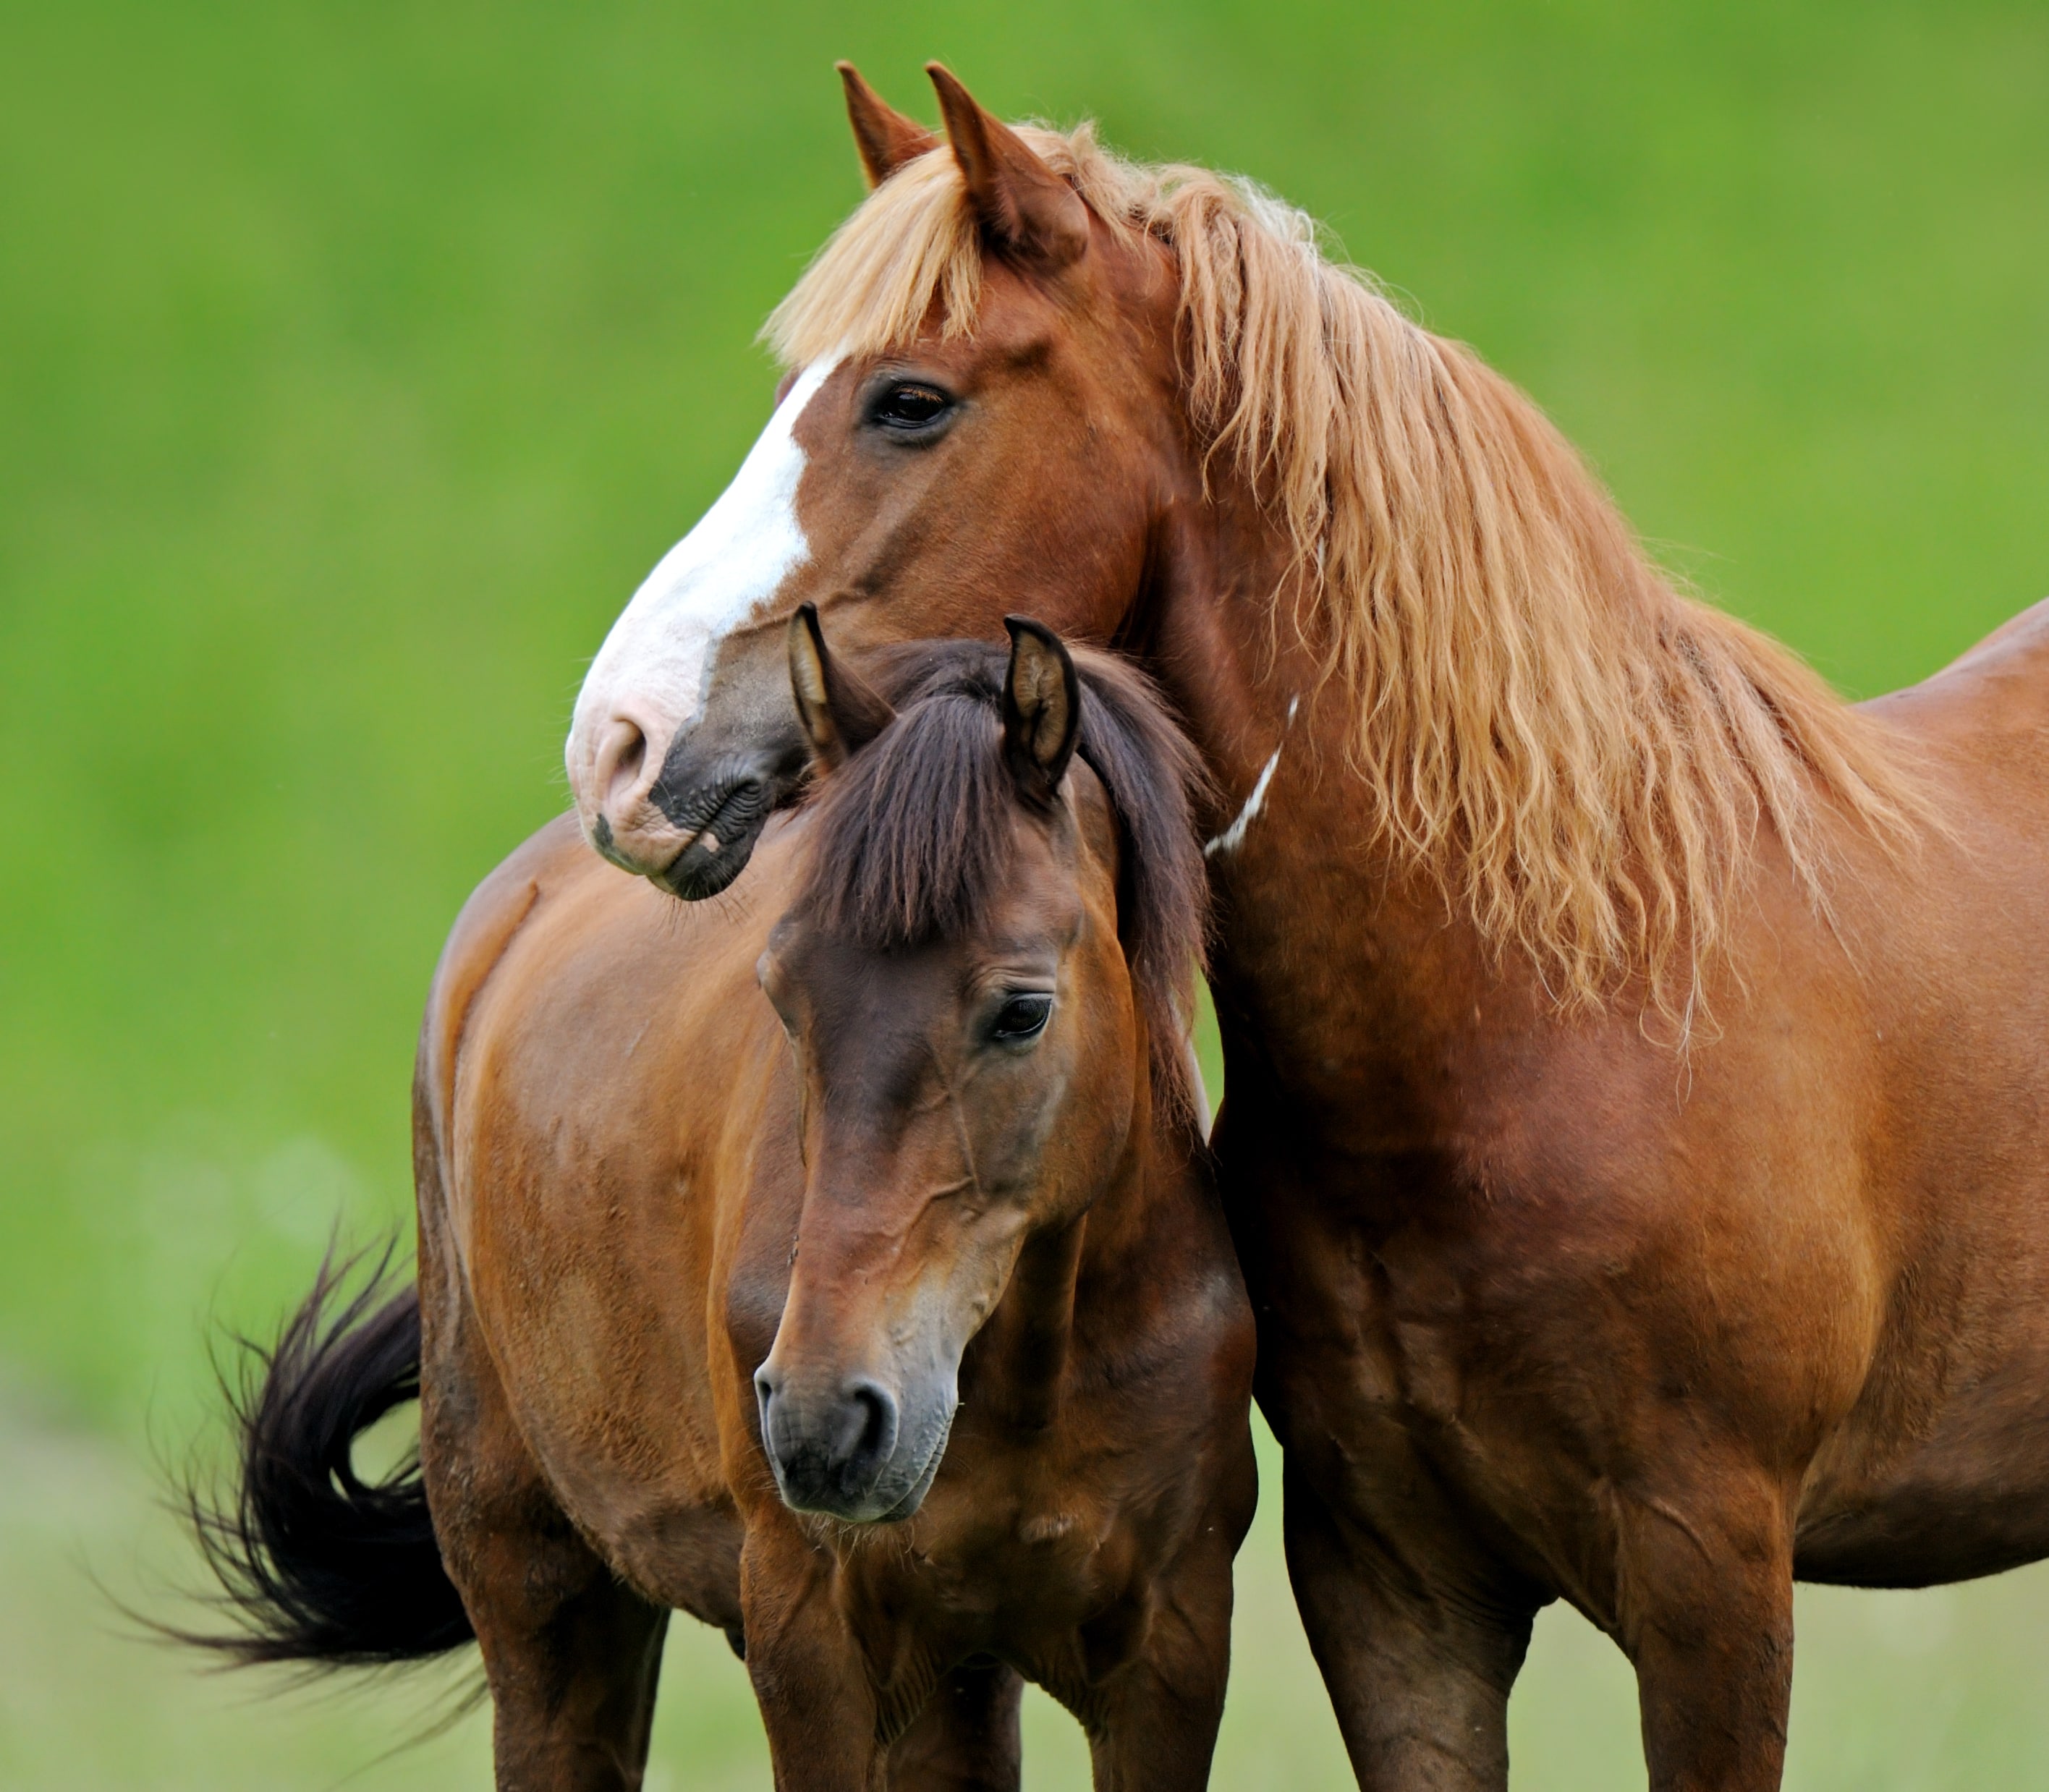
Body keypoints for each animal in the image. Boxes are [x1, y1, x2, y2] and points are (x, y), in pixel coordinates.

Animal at [195, 618, 1245, 1792]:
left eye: (1022, 1011)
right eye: (784, 995)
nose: (826, 1415)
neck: (1036, 1375)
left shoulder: (1167, 1652)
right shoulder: (811, 1641)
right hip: (546, 1605)